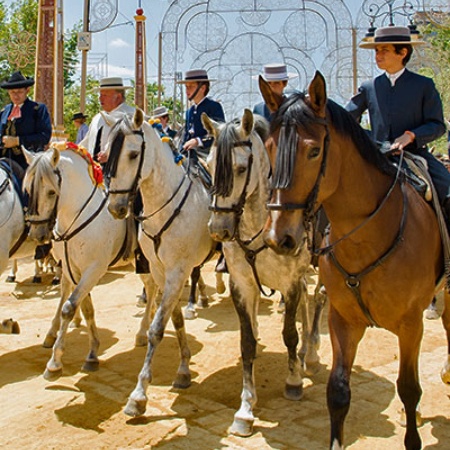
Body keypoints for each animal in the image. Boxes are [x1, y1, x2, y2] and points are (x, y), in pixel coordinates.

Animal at [23, 145, 156, 380]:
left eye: (51, 192)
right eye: (28, 190)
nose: (37, 234)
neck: (77, 216)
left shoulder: (94, 269)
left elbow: (68, 308)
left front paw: (54, 363)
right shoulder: (74, 271)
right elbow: (86, 309)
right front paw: (92, 353)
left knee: (154, 287)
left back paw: (144, 330)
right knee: (151, 287)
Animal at [105, 110, 218, 418]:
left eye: (133, 154)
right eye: (106, 152)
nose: (116, 207)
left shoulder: (178, 271)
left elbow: (158, 328)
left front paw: (139, 394)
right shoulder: (161, 270)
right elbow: (173, 320)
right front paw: (183, 369)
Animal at [204, 109, 326, 436]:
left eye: (240, 168)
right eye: (208, 165)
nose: (218, 229)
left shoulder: (291, 282)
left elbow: (289, 334)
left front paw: (294, 381)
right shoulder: (242, 285)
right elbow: (247, 344)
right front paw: (245, 409)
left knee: (319, 299)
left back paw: (311, 353)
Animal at [258, 72, 450, 448]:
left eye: (314, 150)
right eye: (270, 147)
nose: (280, 237)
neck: (370, 234)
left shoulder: (411, 325)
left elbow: (408, 388)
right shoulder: (343, 319)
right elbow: (338, 391)